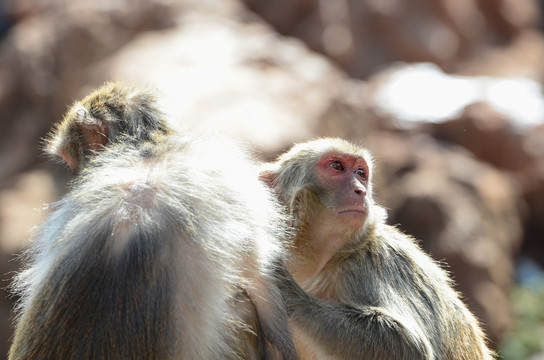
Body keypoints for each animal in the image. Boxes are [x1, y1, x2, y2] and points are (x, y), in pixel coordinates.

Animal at [262, 137, 496, 360]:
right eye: (336, 166)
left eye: (360, 173)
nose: (360, 190)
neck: (326, 259)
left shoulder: (367, 264)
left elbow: (411, 346)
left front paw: (290, 294)